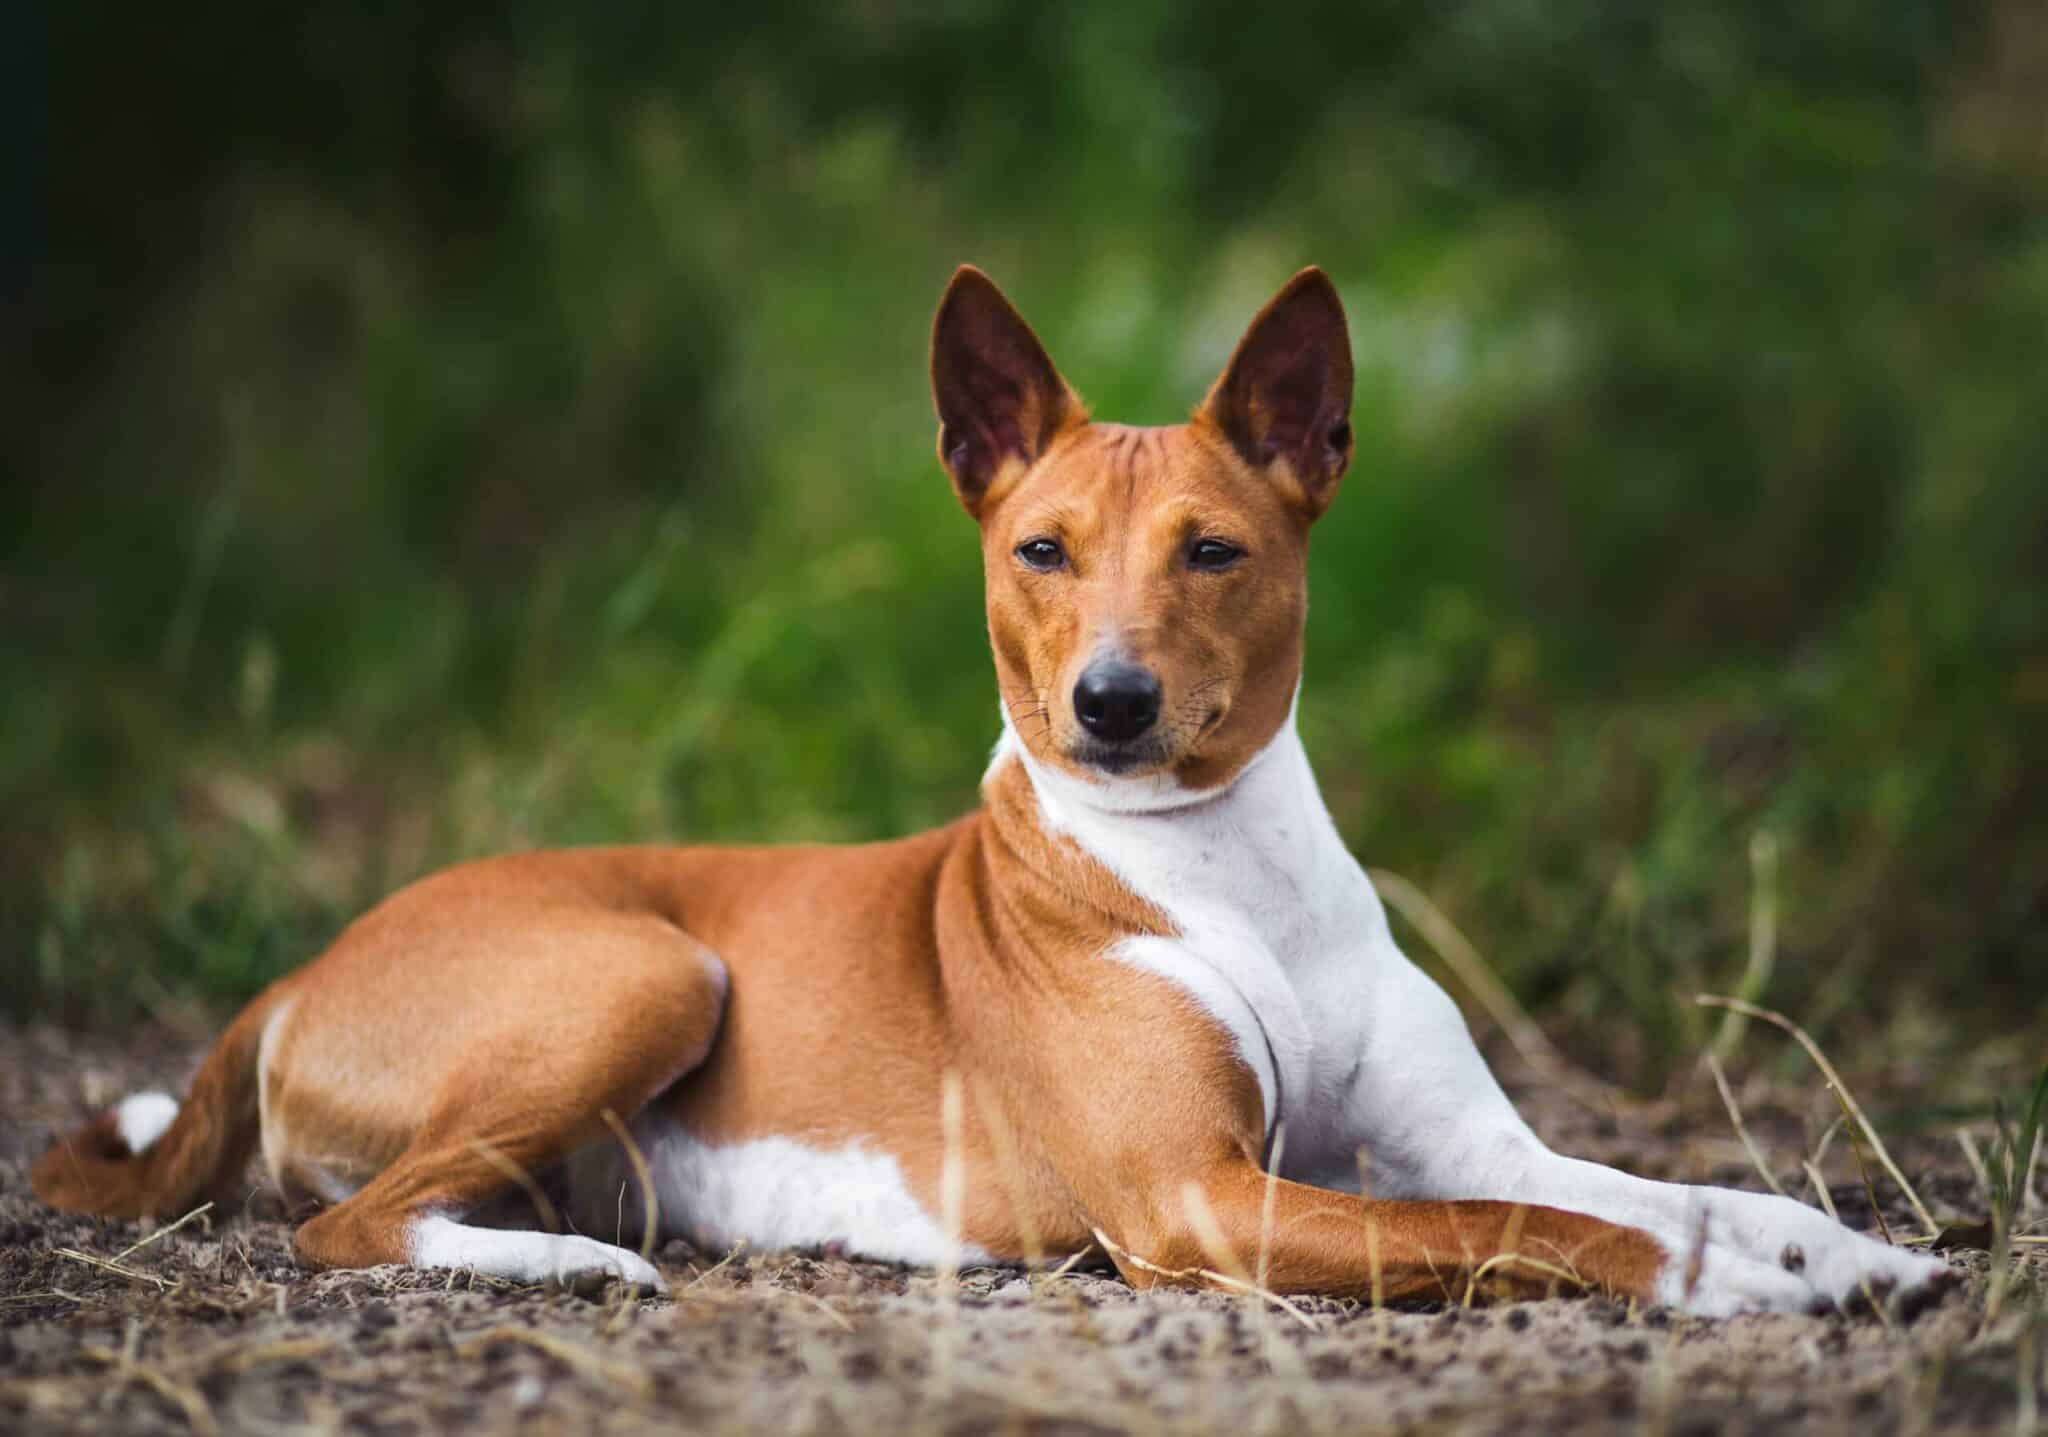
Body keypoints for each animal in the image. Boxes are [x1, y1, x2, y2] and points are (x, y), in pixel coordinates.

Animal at [39, 268, 1941, 1318]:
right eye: (1042, 550)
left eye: (1213, 551)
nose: (1109, 702)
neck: (1224, 877)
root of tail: (307, 966)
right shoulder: (1198, 1201)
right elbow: (1521, 1226)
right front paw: (1725, 1290)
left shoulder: (1463, 1133)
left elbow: (1642, 1185)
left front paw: (1835, 1251)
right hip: (648, 968)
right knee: (347, 1223)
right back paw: (583, 1273)